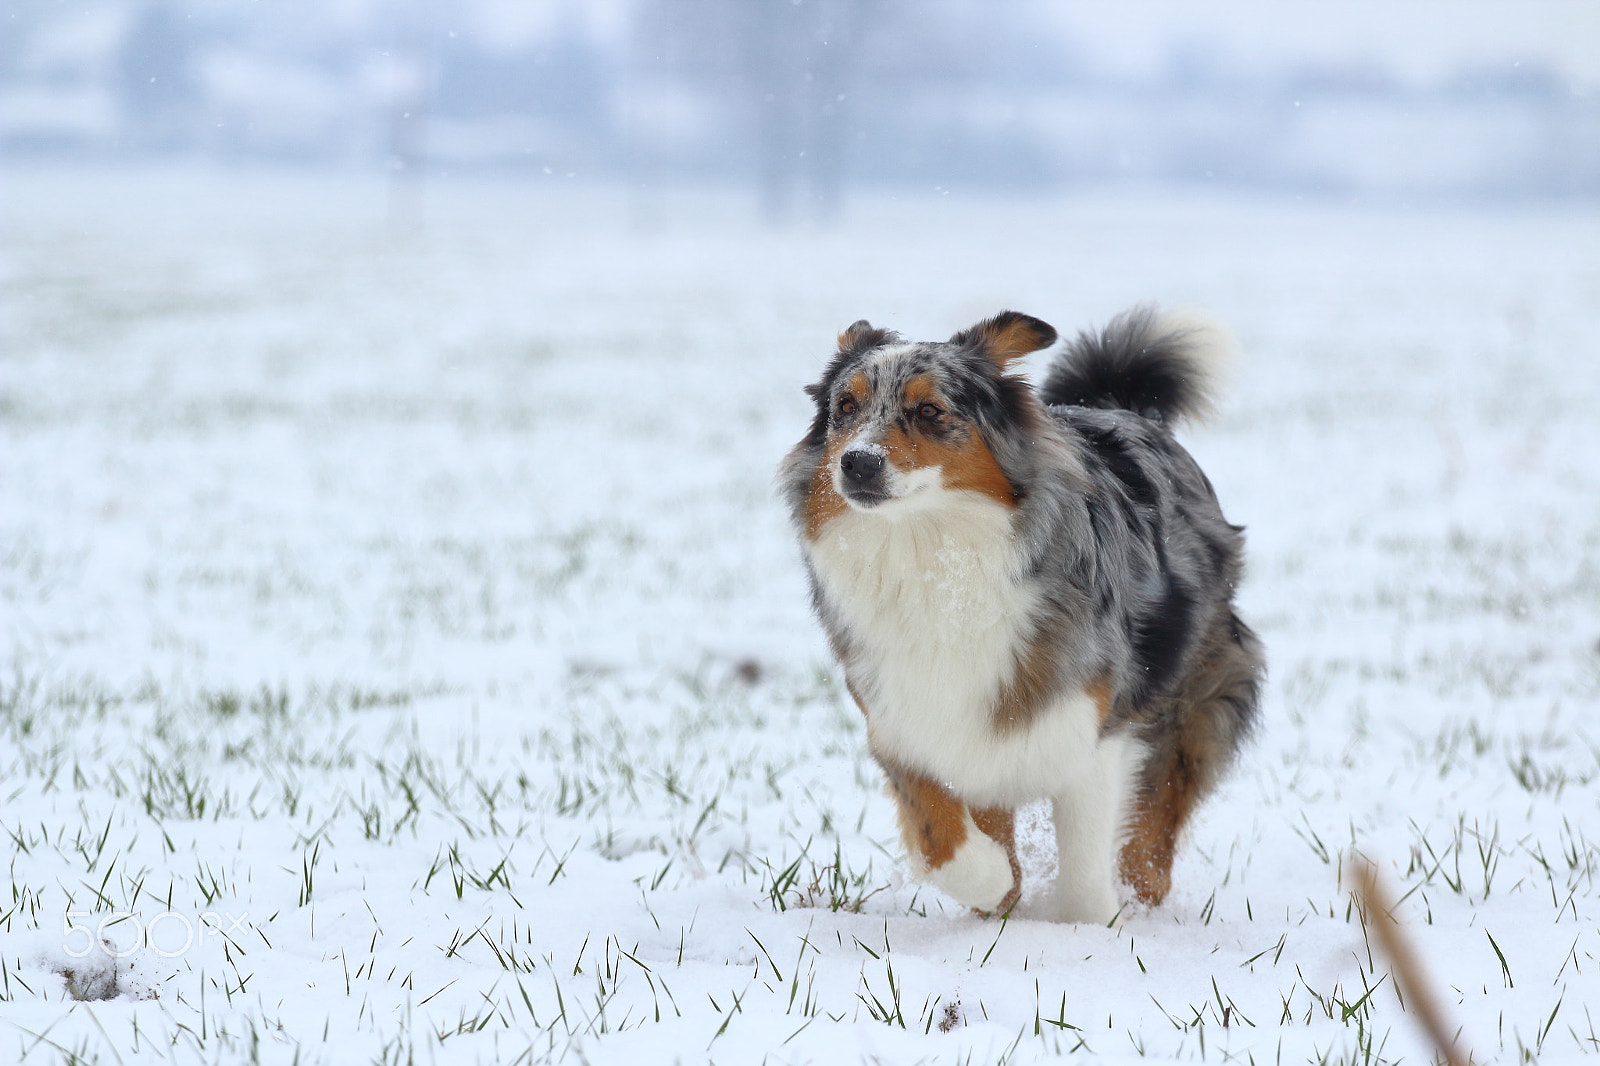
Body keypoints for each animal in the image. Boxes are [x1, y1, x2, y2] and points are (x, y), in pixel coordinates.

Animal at [780, 302, 1267, 915]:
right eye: (846, 407)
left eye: (929, 411)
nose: (857, 464)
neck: (931, 552)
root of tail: (1119, 407)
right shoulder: (904, 717)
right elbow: (942, 838)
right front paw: (996, 886)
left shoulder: (1090, 720)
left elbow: (1084, 860)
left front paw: (1087, 923)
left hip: (1192, 688)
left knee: (1160, 811)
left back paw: (1141, 894)